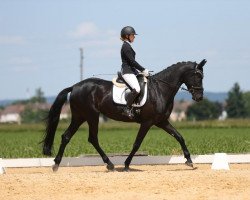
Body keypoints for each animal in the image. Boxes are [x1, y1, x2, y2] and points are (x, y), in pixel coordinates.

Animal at [42, 58, 207, 171]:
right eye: (198, 76)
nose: (199, 97)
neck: (160, 89)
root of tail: (75, 86)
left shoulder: (161, 121)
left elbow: (179, 136)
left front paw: (189, 160)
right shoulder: (147, 122)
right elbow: (137, 143)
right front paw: (127, 164)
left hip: (80, 117)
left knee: (67, 136)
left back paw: (56, 164)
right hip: (91, 116)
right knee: (92, 138)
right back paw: (109, 164)